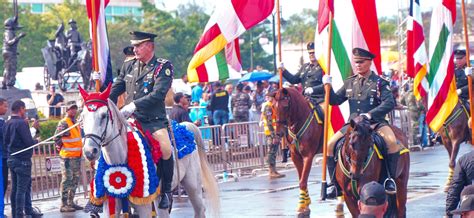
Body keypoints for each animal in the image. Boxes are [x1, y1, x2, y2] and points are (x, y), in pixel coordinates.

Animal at [80, 86, 220, 217]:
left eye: (104, 116)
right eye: (82, 117)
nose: (90, 151)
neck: (118, 161)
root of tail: (186, 127)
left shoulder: (144, 205)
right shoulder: (111, 205)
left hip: (193, 186)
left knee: (199, 210)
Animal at [272, 87, 324, 216]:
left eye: (285, 106)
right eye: (273, 106)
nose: (279, 133)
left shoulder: (308, 156)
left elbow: (303, 181)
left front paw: (302, 206)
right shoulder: (296, 156)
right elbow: (301, 178)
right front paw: (305, 203)